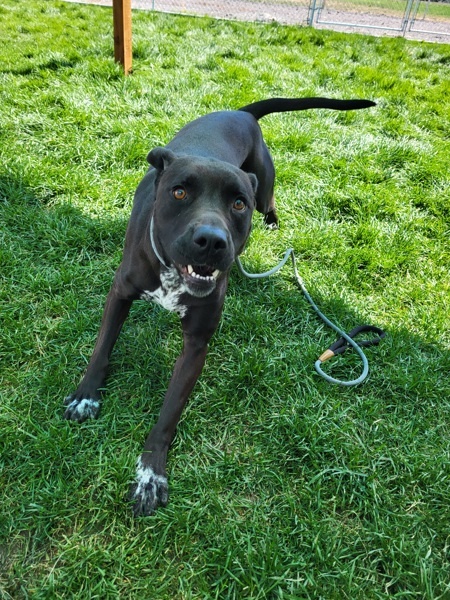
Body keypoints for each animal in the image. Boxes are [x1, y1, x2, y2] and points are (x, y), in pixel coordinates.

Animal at [65, 96, 374, 512]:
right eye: (179, 193)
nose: (212, 240)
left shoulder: (197, 345)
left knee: (271, 201)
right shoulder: (120, 293)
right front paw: (86, 396)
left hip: (265, 184)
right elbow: (101, 349)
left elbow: (169, 413)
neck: (172, 275)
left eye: (237, 204)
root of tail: (242, 112)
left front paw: (150, 473)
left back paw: (273, 222)